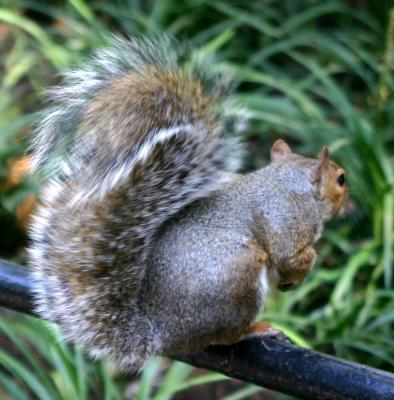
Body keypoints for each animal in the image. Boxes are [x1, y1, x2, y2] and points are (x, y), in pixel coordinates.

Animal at [27, 36, 348, 370]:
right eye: (341, 179)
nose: (348, 202)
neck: (288, 182)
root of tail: (161, 333)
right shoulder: (288, 219)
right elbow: (292, 255)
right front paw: (299, 272)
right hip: (239, 276)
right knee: (224, 337)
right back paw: (256, 329)